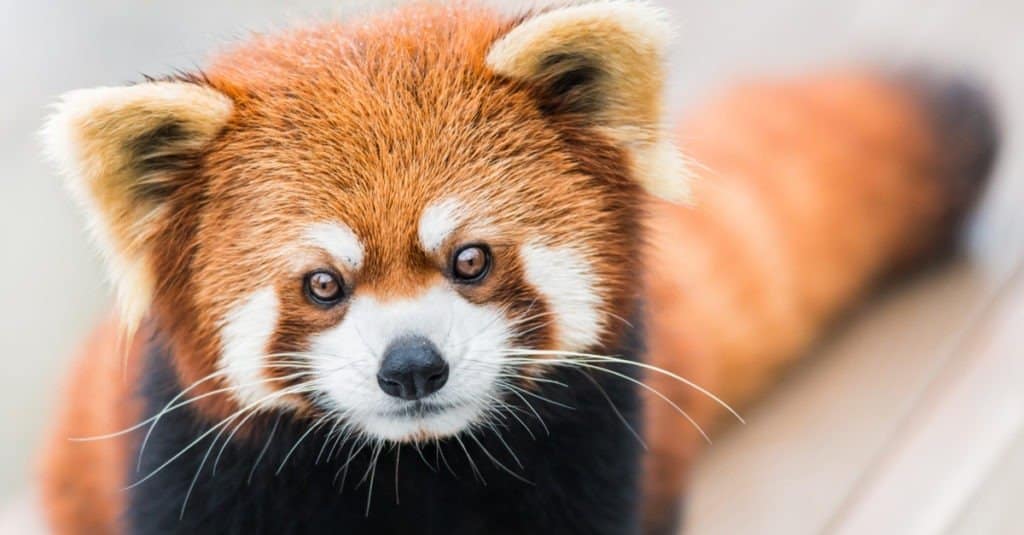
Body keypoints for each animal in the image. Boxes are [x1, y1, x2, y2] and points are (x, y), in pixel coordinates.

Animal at [37, 1, 991, 532]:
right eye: (323, 284)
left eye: (470, 258)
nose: (411, 366)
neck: (415, 469)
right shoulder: (196, 476)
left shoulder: (595, 454)